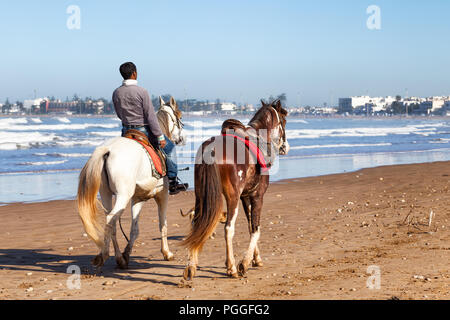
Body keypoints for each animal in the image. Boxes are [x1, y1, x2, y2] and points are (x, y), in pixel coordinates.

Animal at [77, 96, 185, 268]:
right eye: (179, 116)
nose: (181, 138)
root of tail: (108, 150)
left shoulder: (138, 199)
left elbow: (134, 230)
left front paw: (127, 253)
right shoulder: (162, 196)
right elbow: (163, 224)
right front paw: (167, 253)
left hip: (106, 193)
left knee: (112, 223)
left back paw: (119, 258)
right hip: (123, 195)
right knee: (111, 219)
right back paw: (105, 255)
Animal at [182, 100, 288, 280]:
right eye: (284, 121)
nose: (285, 147)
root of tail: (211, 149)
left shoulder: (245, 196)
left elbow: (250, 226)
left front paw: (256, 258)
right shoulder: (257, 196)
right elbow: (256, 228)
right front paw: (244, 263)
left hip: (200, 196)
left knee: (196, 223)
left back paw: (191, 266)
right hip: (232, 198)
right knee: (228, 229)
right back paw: (231, 267)